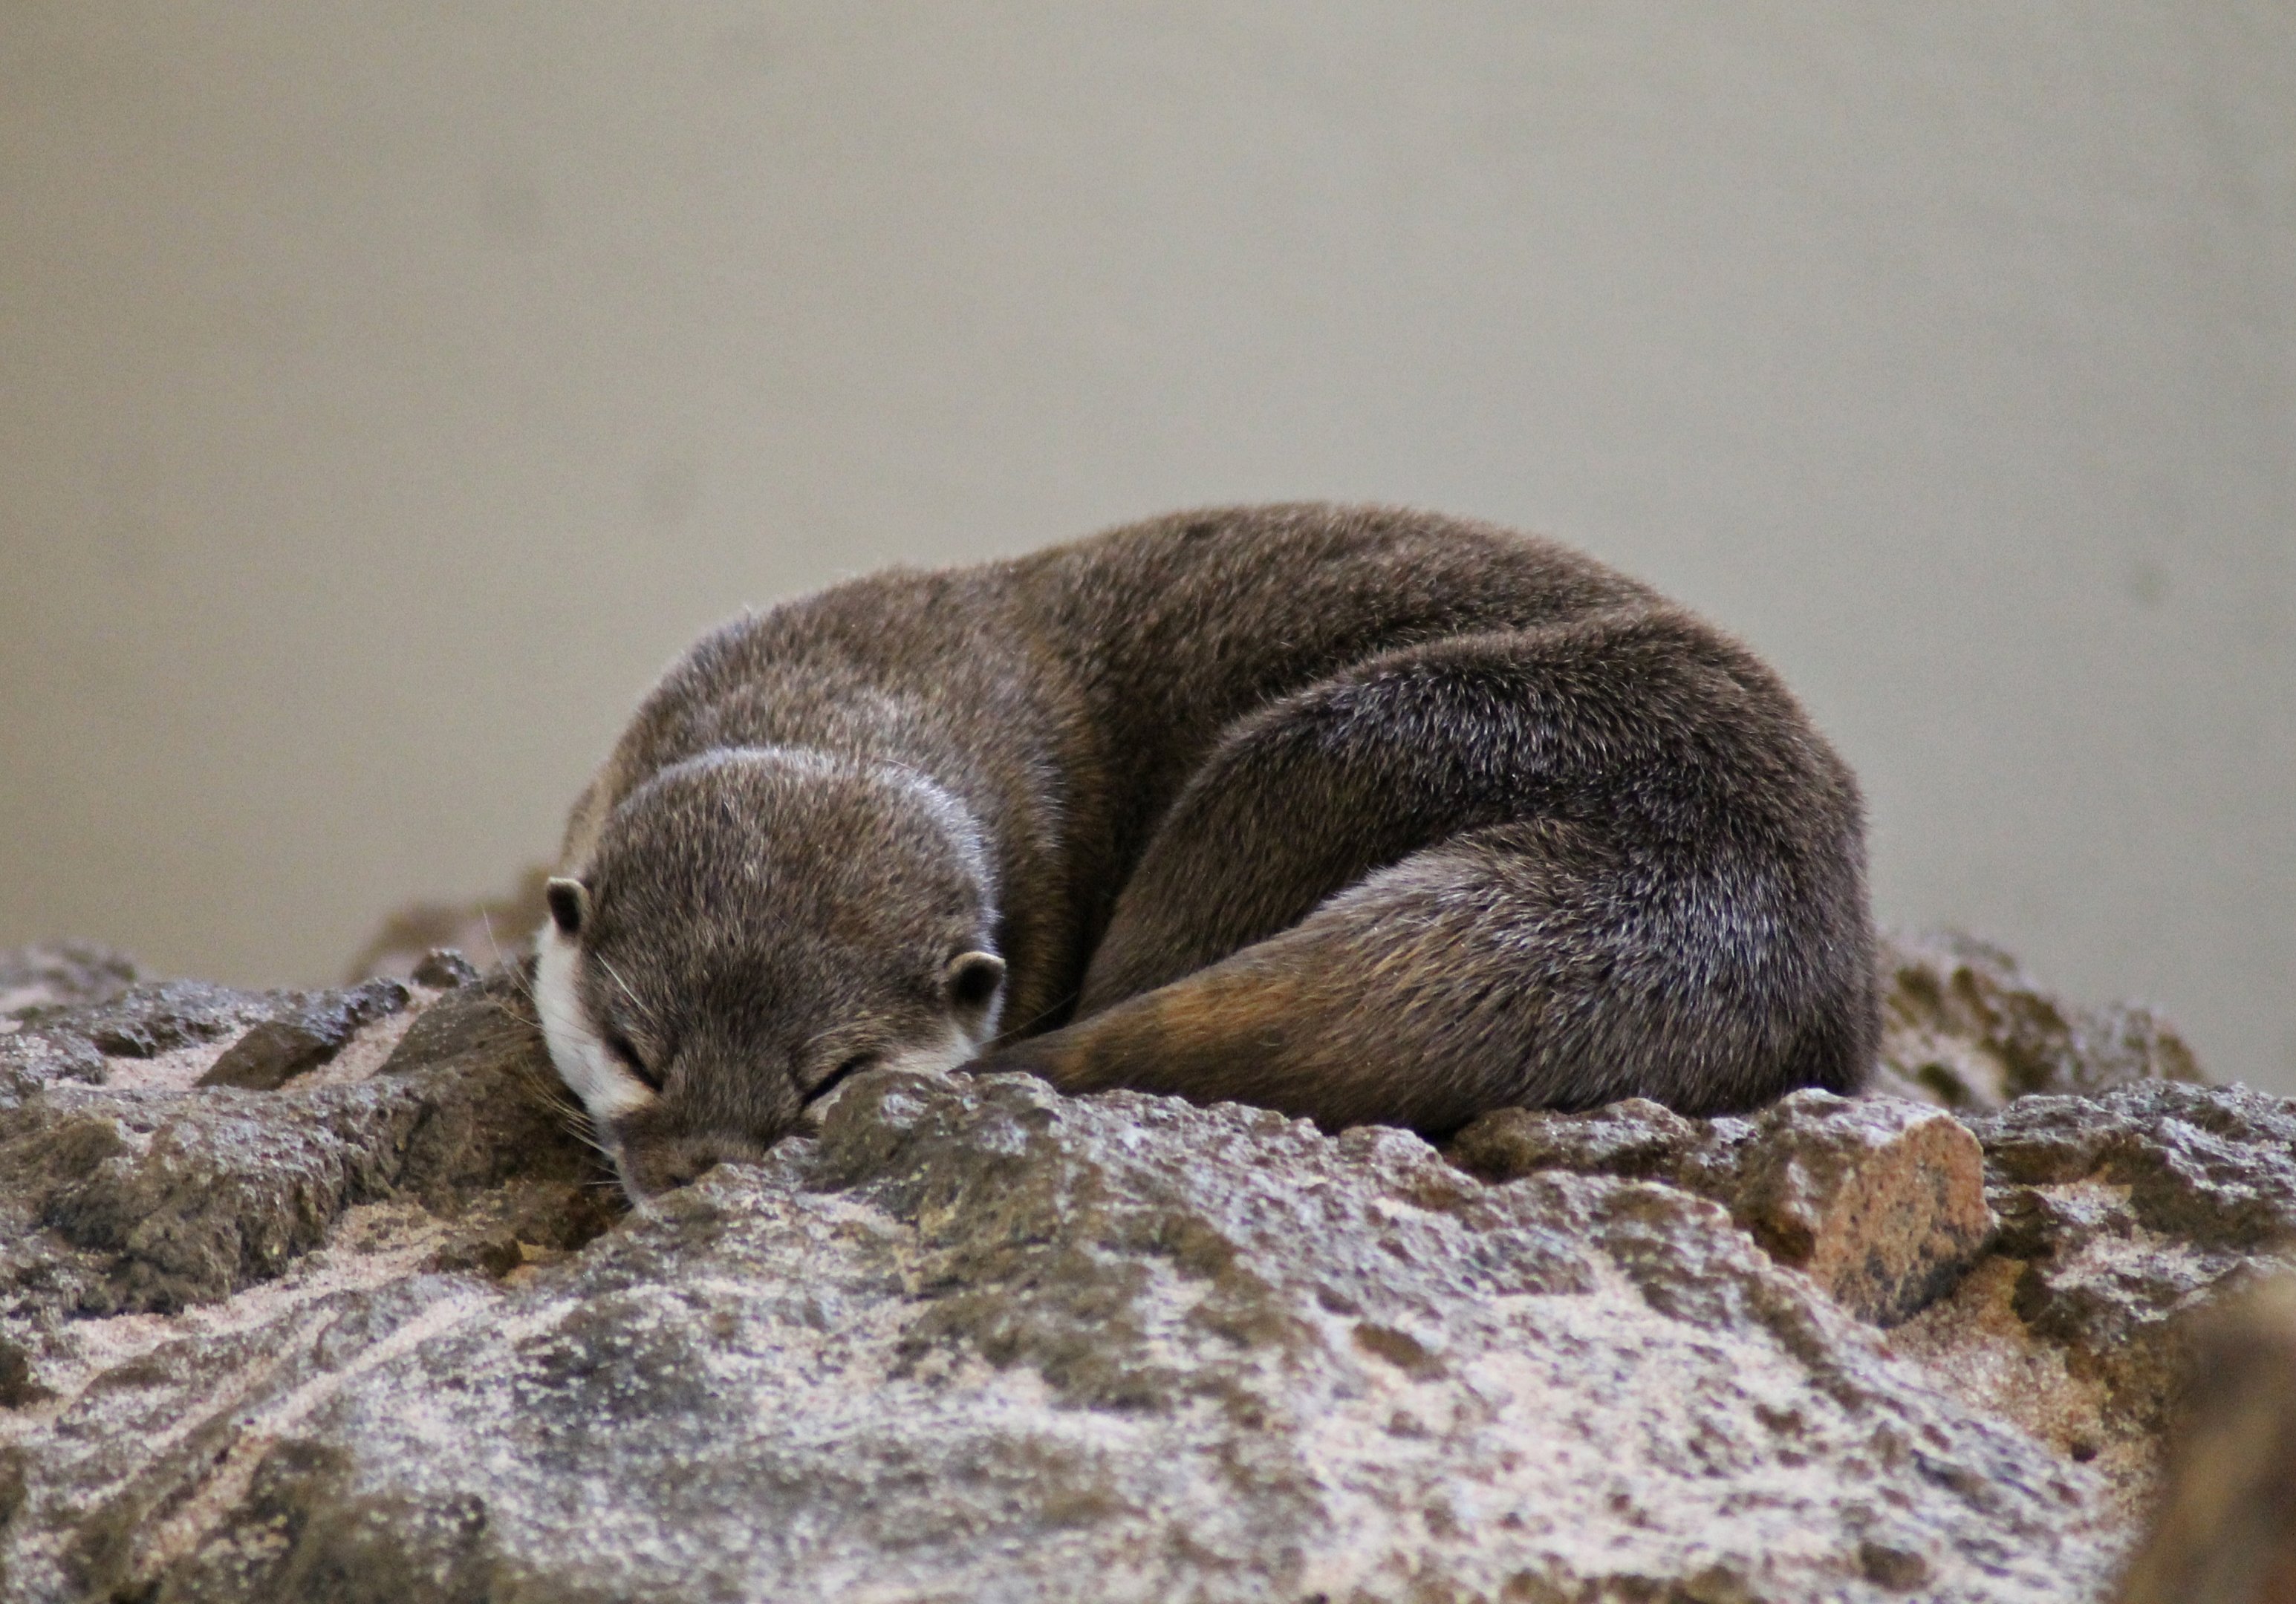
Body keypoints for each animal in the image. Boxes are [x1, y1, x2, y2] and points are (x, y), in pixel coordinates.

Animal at [535, 504, 1876, 1199]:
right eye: (637, 1051)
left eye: (833, 1076)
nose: (704, 1172)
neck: (869, 680)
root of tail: (1724, 882)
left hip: (1355, 745)